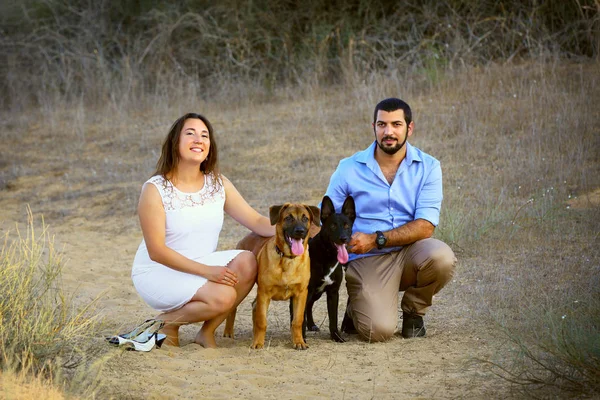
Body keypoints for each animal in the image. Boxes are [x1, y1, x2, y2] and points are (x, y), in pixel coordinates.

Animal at [224, 203, 318, 350]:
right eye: (288, 218)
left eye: (305, 218)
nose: (300, 231)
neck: (288, 259)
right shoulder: (264, 293)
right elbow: (262, 321)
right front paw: (258, 343)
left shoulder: (301, 294)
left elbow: (297, 321)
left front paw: (299, 342)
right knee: (234, 309)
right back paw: (229, 333)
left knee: (254, 305)